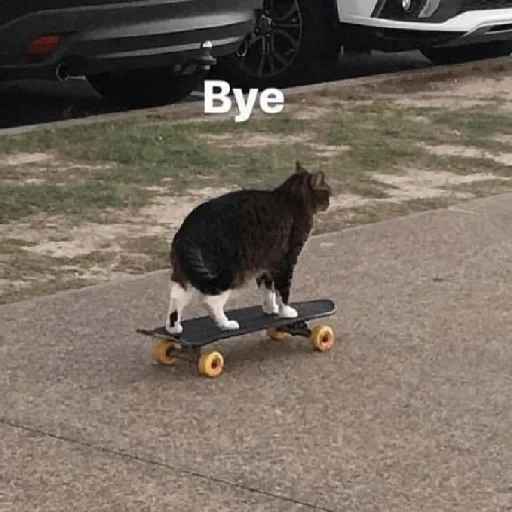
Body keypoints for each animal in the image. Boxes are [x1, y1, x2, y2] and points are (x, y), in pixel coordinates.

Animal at [165, 162, 332, 334]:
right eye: (327, 191)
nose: (329, 203)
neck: (291, 197)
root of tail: (187, 230)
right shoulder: (286, 261)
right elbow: (283, 291)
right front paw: (286, 312)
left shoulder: (266, 264)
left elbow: (268, 291)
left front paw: (271, 309)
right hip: (228, 273)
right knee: (210, 301)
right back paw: (226, 324)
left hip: (187, 273)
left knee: (176, 297)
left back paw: (173, 328)